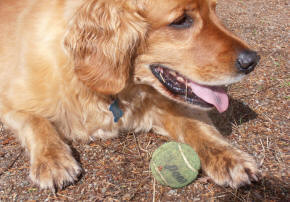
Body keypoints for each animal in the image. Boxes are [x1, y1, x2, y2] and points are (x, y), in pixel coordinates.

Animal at [0, 0, 260, 190]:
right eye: (180, 21)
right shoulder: (9, 101)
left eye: (214, 9)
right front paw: (53, 159)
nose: (253, 60)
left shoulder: (163, 104)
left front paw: (229, 156)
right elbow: (36, 121)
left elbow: (196, 126)